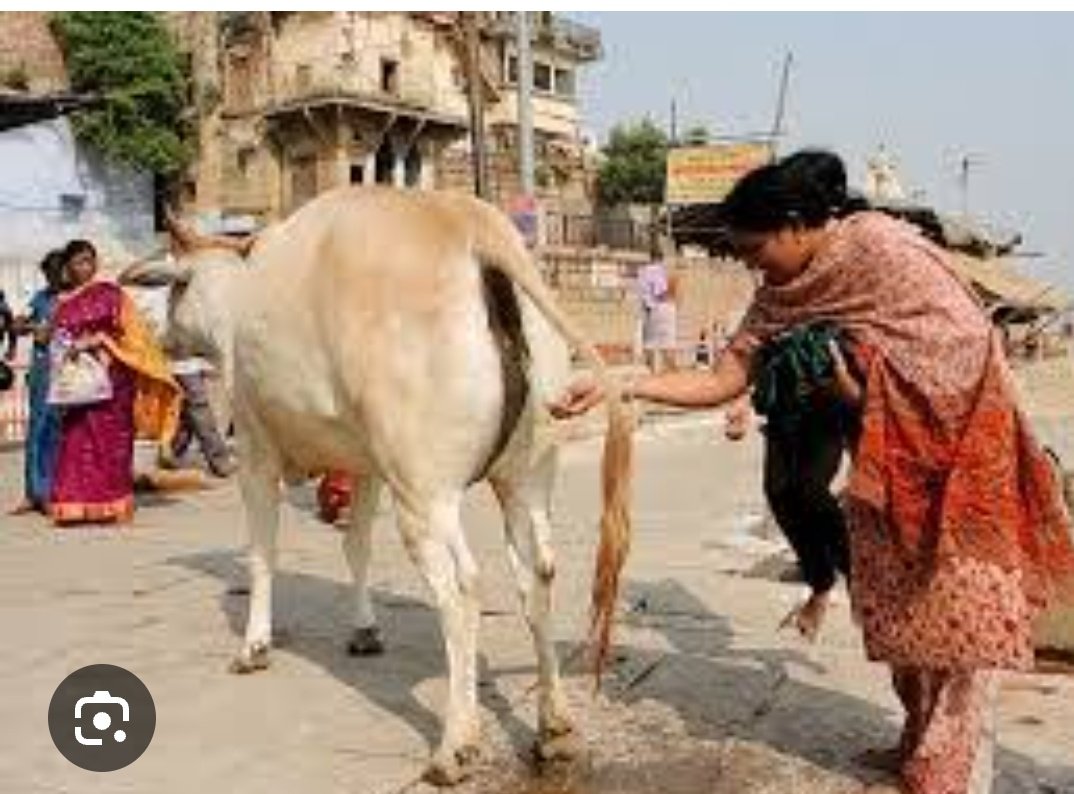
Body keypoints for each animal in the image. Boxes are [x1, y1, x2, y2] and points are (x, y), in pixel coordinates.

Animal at [121, 186, 633, 785]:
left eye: (176, 285)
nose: (152, 331)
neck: (243, 294)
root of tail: (471, 224)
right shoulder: (365, 464)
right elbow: (356, 543)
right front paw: (364, 630)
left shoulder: (253, 446)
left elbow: (262, 552)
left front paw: (254, 645)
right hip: (524, 477)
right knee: (537, 575)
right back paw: (556, 729)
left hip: (424, 490)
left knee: (462, 589)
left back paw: (456, 745)